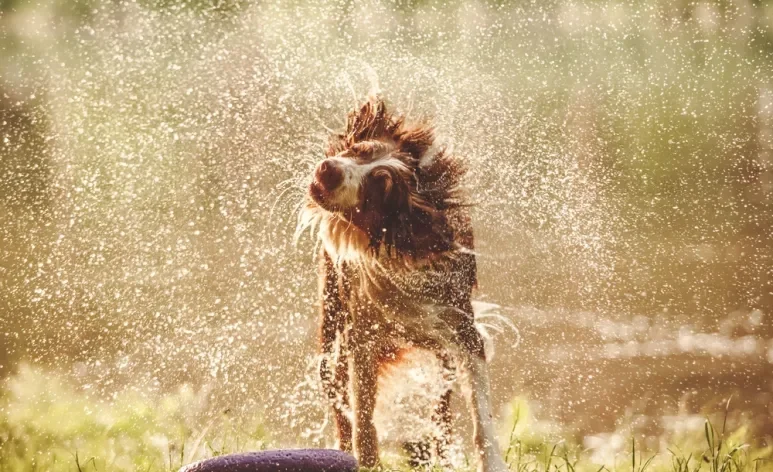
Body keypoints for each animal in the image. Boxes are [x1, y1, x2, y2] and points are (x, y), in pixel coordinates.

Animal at [296, 96, 506, 472]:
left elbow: (482, 416)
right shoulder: (361, 336)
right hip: (331, 325)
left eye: (379, 188)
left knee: (441, 410)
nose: (329, 169)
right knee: (338, 396)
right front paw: (366, 460)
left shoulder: (462, 329)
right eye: (358, 150)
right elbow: (364, 420)